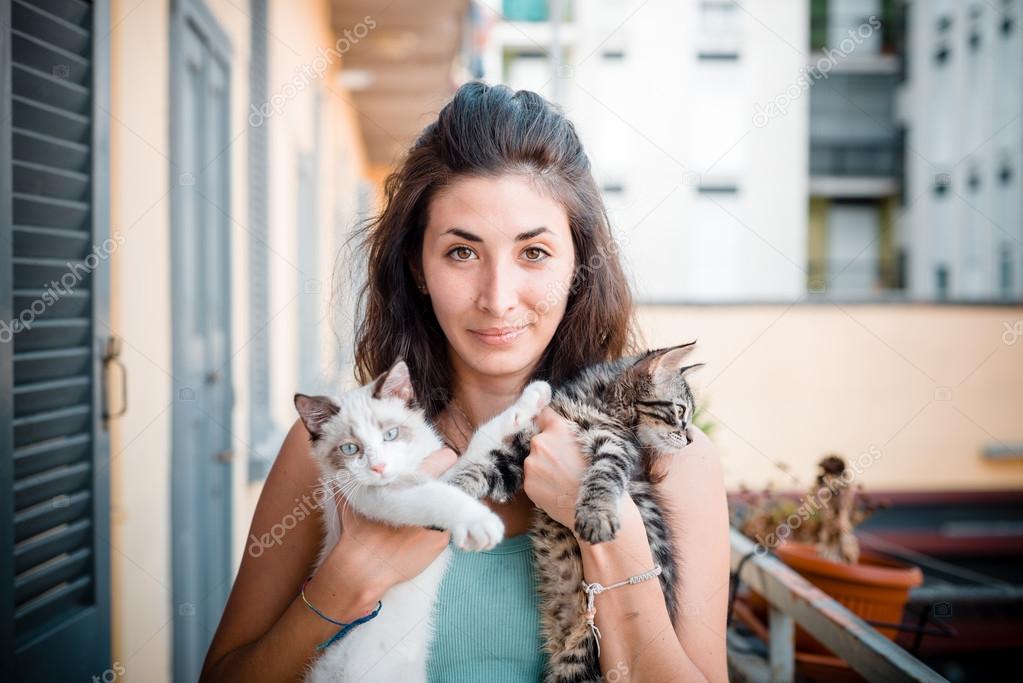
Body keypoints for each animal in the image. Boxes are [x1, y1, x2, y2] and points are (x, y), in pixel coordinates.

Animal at [294, 357, 505, 683]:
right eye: (350, 449)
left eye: (390, 435)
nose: (379, 467)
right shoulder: (384, 500)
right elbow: (437, 497)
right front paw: (480, 523)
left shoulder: (446, 470)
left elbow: (481, 440)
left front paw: (536, 397)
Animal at [441, 341, 703, 683]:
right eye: (680, 411)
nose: (691, 439)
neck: (592, 402)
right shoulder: (521, 452)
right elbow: (486, 468)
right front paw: (452, 487)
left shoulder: (615, 449)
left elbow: (603, 477)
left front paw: (596, 514)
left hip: (580, 662)